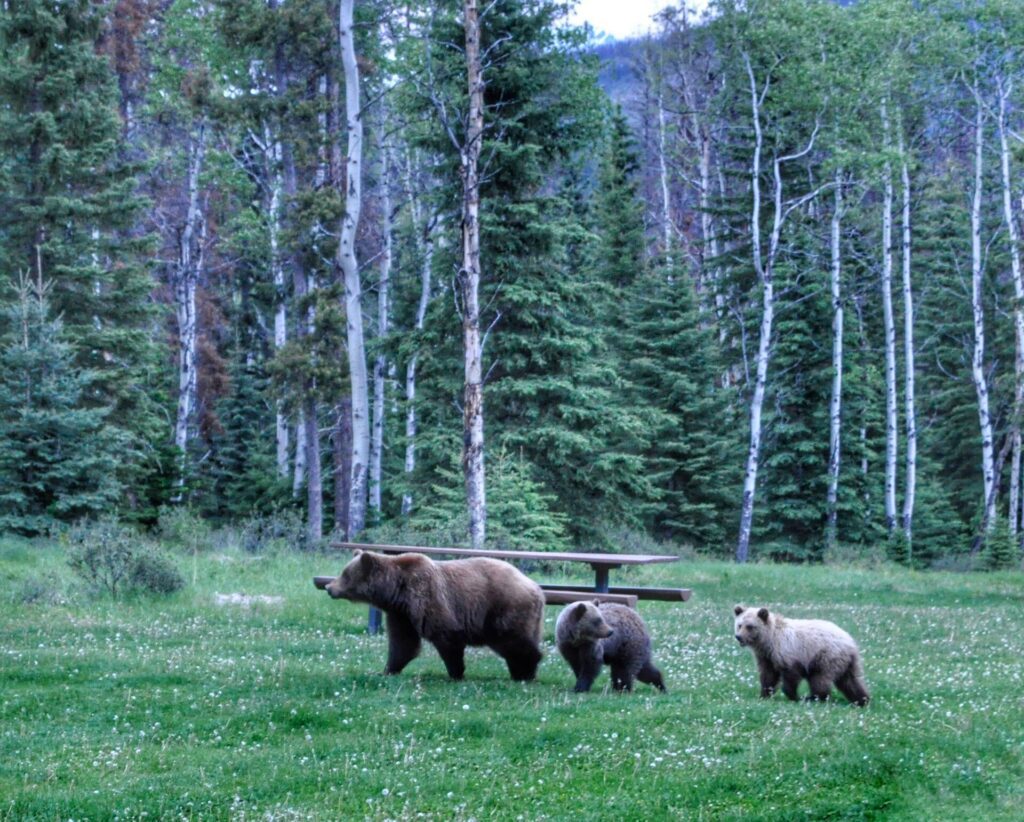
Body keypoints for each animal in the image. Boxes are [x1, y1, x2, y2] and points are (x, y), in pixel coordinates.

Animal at [325, 550, 545, 681]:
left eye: (345, 574)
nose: (329, 587)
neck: (397, 591)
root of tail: (536, 589)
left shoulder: (427, 598)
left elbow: (446, 635)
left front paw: (456, 673)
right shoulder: (401, 614)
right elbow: (403, 643)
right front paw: (387, 670)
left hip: (503, 608)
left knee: (512, 641)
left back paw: (526, 671)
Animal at [733, 605, 870, 706]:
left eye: (750, 626)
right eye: (739, 625)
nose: (738, 637)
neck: (768, 641)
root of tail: (850, 642)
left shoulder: (789, 652)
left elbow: (791, 675)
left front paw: (793, 696)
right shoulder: (766, 657)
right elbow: (768, 676)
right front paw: (764, 695)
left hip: (826, 657)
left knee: (819, 679)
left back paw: (814, 697)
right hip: (845, 661)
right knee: (850, 681)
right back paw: (862, 699)